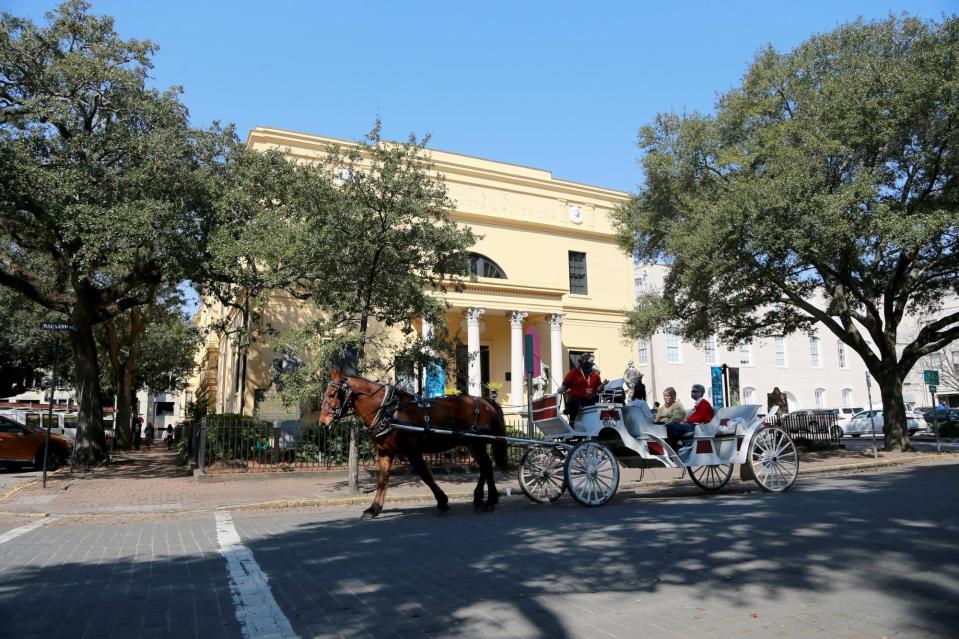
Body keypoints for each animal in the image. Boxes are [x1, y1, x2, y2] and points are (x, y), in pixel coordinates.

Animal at [318, 370, 512, 520]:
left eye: (333, 394)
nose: (322, 422)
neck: (388, 411)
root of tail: (485, 401)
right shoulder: (385, 453)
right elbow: (382, 481)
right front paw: (374, 509)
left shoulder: (412, 452)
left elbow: (426, 476)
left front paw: (442, 502)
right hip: (472, 443)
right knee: (485, 466)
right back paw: (481, 498)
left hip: (476, 442)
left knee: (486, 466)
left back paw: (489, 500)